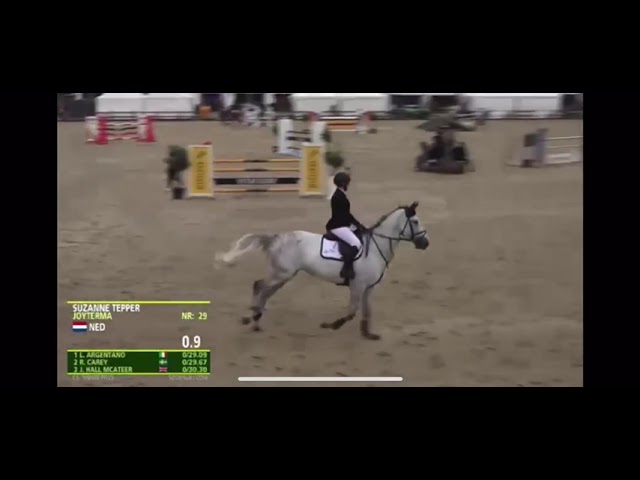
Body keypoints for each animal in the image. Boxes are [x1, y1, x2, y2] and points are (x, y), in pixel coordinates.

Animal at [214, 201, 430, 340]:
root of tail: (277, 237)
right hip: (281, 273)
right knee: (259, 286)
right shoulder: (357, 286)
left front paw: (368, 334)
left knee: (265, 291)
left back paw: (256, 320)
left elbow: (367, 311)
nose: (425, 243)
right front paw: (330, 325)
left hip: (283, 275)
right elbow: (351, 312)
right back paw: (250, 318)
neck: (376, 248)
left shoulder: (369, 288)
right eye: (415, 221)